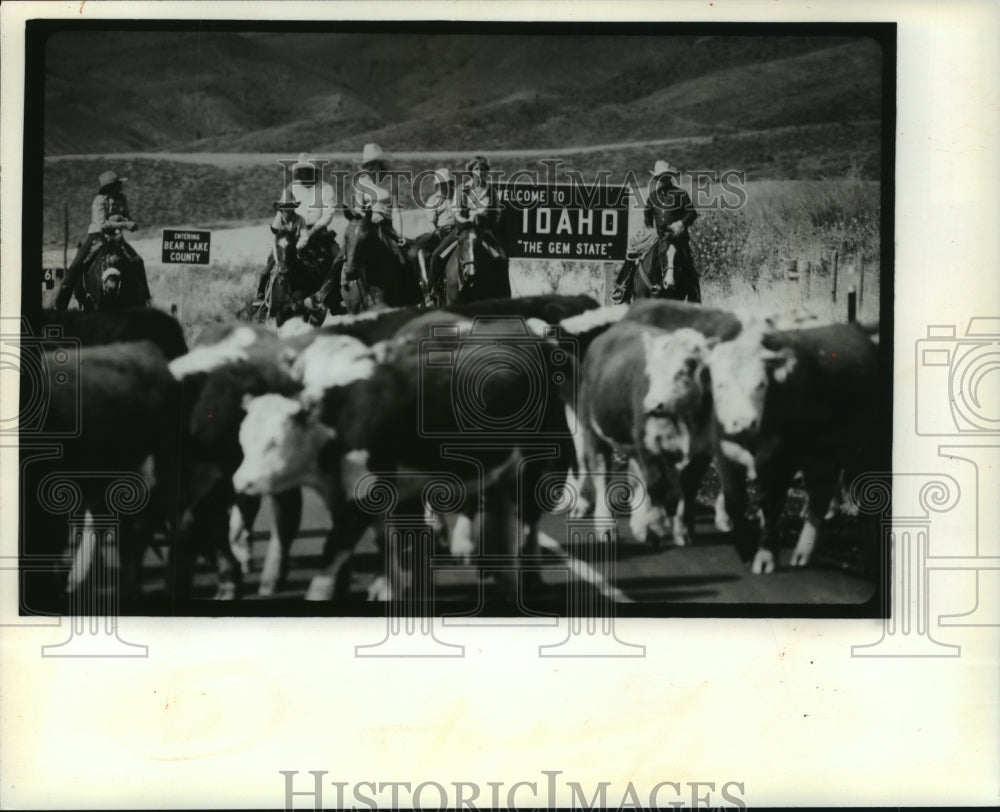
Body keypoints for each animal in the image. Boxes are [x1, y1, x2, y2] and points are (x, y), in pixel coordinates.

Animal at [708, 320, 880, 576]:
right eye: (721, 385)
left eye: (761, 385)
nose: (744, 422)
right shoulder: (725, 454)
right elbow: (735, 500)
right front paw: (745, 548)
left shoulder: (783, 460)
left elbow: (771, 504)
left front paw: (766, 557)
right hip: (821, 458)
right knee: (821, 495)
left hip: (857, 452)